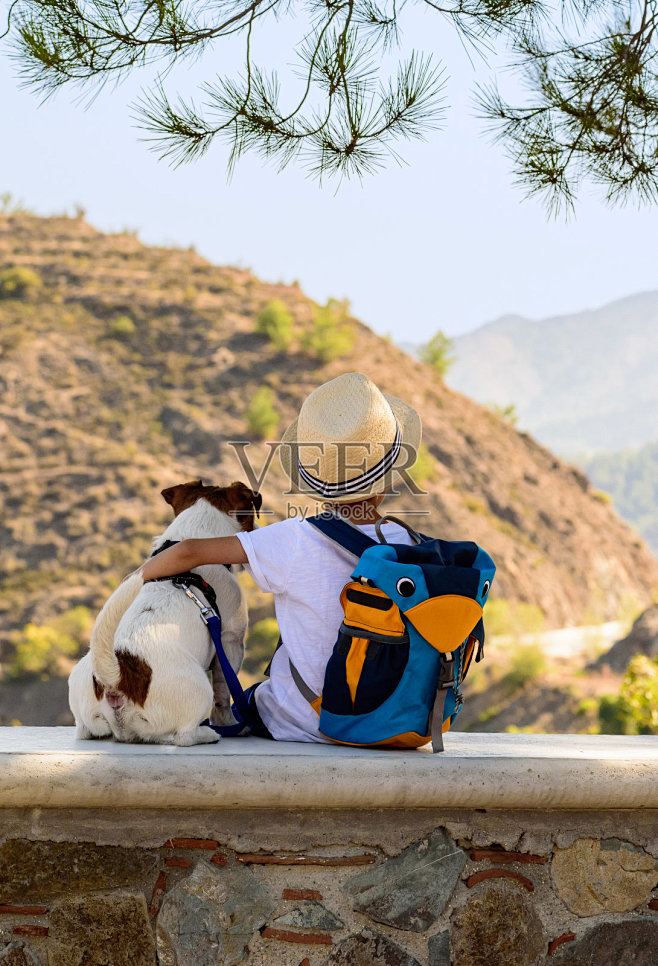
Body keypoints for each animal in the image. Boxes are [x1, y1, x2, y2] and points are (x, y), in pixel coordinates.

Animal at [68, 484, 260, 748]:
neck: (190, 533)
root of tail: (115, 678)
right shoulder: (231, 642)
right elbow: (224, 693)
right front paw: (230, 724)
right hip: (198, 689)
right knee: (184, 736)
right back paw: (207, 734)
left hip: (84, 713)